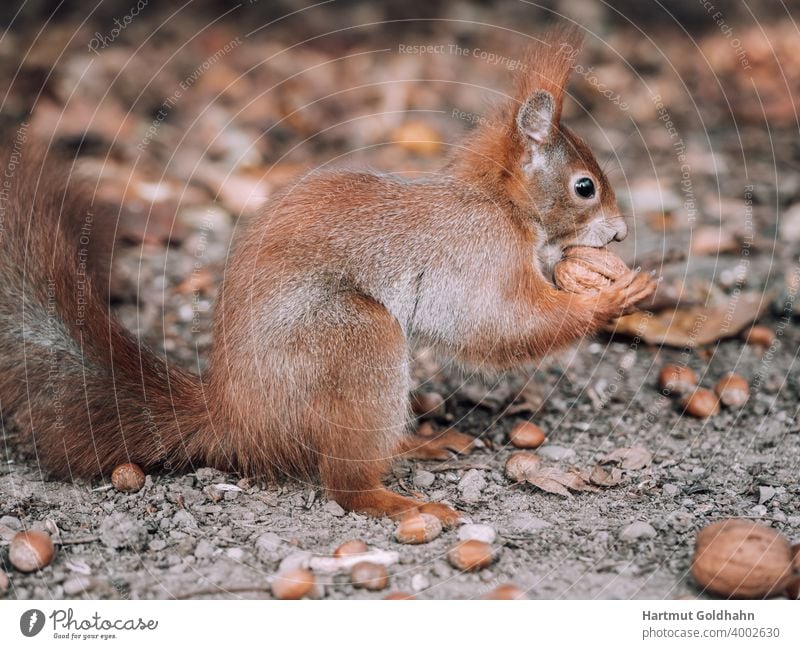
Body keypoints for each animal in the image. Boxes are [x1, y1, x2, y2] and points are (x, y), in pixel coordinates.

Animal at [0, 27, 648, 528]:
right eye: (584, 187)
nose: (619, 235)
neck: (500, 204)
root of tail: (237, 419)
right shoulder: (477, 259)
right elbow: (500, 326)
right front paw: (615, 296)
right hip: (357, 339)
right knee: (344, 483)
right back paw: (402, 502)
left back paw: (422, 441)